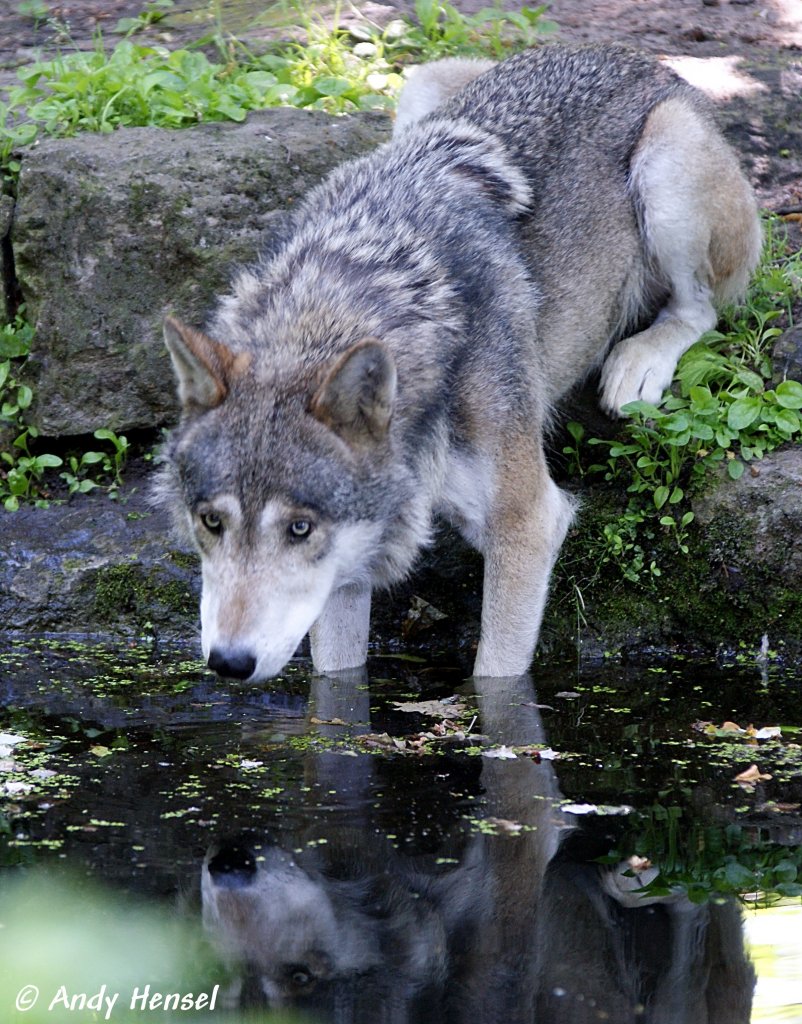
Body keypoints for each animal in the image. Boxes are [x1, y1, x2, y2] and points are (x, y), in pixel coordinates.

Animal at [159, 41, 762, 679]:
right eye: (212, 522)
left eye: (300, 528)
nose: (228, 662)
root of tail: (641, 58)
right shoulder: (348, 563)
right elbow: (338, 677)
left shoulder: (528, 523)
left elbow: (495, 675)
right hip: (420, 87)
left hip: (669, 155)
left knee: (700, 310)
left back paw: (638, 364)